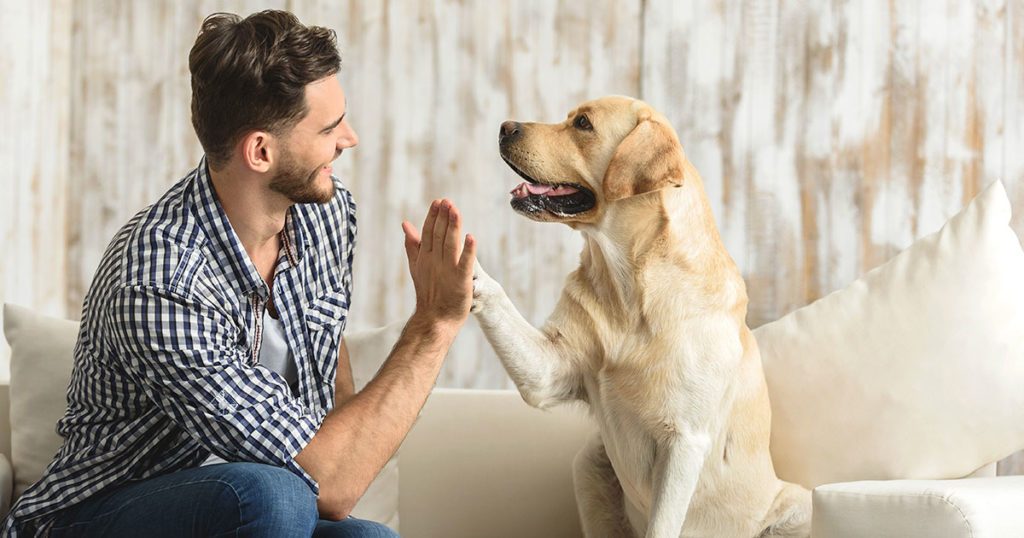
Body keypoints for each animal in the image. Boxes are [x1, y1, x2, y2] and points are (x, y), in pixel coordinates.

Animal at [468, 97, 806, 536]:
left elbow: (662, 526)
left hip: (797, 504)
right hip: (590, 463)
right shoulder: (549, 372)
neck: (629, 288)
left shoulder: (685, 441)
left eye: (583, 123)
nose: (505, 127)